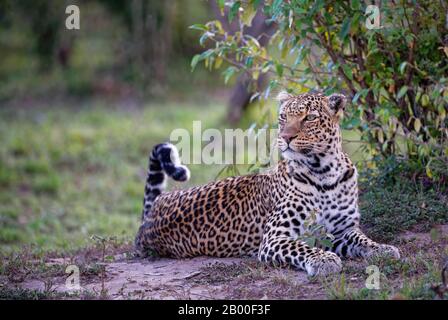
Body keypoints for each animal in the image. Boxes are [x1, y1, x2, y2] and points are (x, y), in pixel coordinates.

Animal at [134, 91, 400, 276]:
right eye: (283, 117)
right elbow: (303, 248)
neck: (324, 172)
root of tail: (150, 216)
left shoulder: (342, 230)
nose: (286, 137)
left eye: (309, 118)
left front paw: (383, 249)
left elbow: (363, 239)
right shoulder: (275, 238)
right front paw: (324, 260)